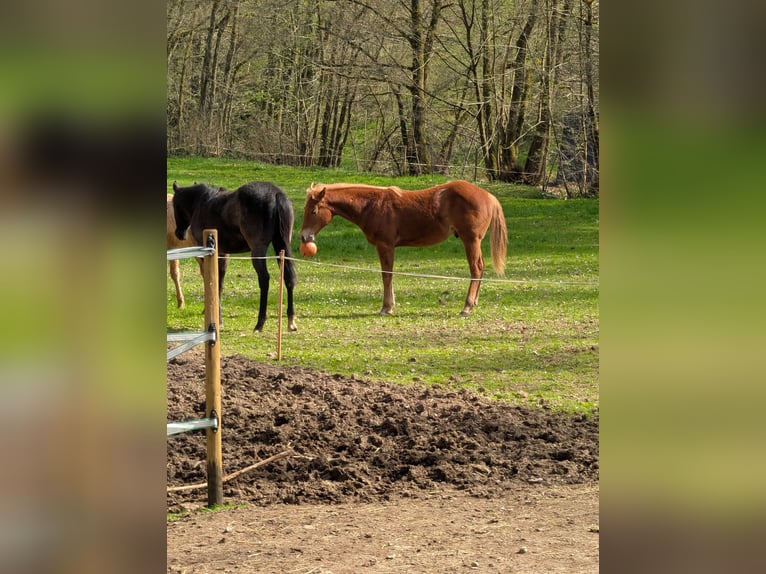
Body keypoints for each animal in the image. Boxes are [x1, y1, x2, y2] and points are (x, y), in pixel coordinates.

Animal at [172, 181, 298, 332]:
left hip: (258, 251)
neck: (201, 202)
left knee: (264, 279)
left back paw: (260, 323)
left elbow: (212, 281)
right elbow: (219, 283)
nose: (179, 234)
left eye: (174, 205)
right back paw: (291, 321)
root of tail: (276, 194)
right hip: (281, 245)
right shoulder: (223, 254)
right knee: (288, 277)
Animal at [300, 180, 507, 316]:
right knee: (480, 267)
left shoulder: (385, 245)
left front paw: (386, 307)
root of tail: (489, 196)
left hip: (471, 240)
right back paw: (474, 303)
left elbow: (387, 274)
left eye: (313, 211)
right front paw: (389, 305)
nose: (304, 237)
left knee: (476, 268)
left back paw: (467, 306)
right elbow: (388, 275)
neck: (372, 205)